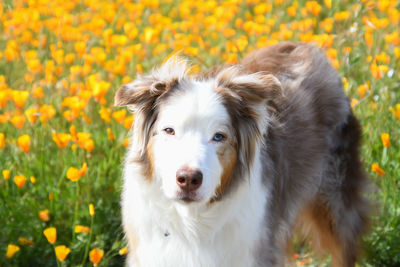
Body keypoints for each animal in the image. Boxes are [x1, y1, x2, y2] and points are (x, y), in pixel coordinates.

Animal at [114, 42, 370, 267]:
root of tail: (309, 46)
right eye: (169, 130)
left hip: (335, 199)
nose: (188, 179)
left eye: (219, 136)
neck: (193, 222)